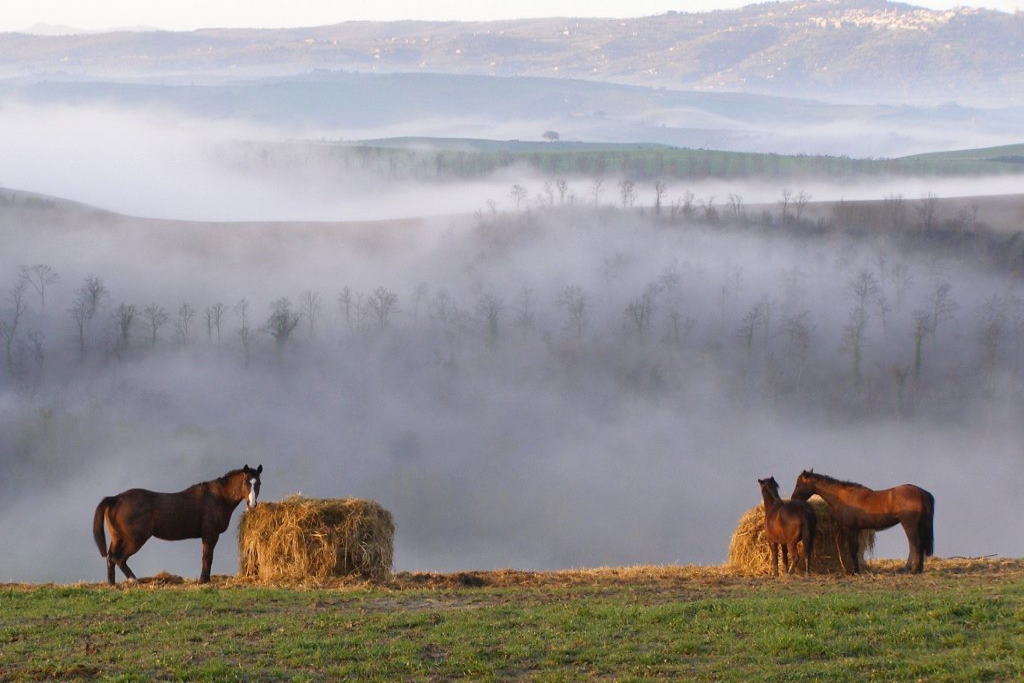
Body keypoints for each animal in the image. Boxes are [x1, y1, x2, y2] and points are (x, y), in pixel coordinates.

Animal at [92, 464, 263, 585]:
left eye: (259, 483)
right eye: (246, 482)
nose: (252, 504)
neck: (218, 497)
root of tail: (115, 498)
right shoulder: (210, 534)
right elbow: (207, 556)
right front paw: (203, 580)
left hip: (117, 538)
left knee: (110, 558)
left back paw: (112, 584)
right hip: (134, 540)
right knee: (119, 559)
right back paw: (133, 580)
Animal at [791, 469, 934, 574]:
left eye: (798, 485)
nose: (793, 499)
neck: (843, 497)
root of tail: (922, 493)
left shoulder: (850, 529)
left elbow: (853, 549)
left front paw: (854, 571)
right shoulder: (856, 530)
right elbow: (855, 548)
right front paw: (857, 570)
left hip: (910, 525)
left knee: (915, 545)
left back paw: (913, 570)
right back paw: (917, 569)